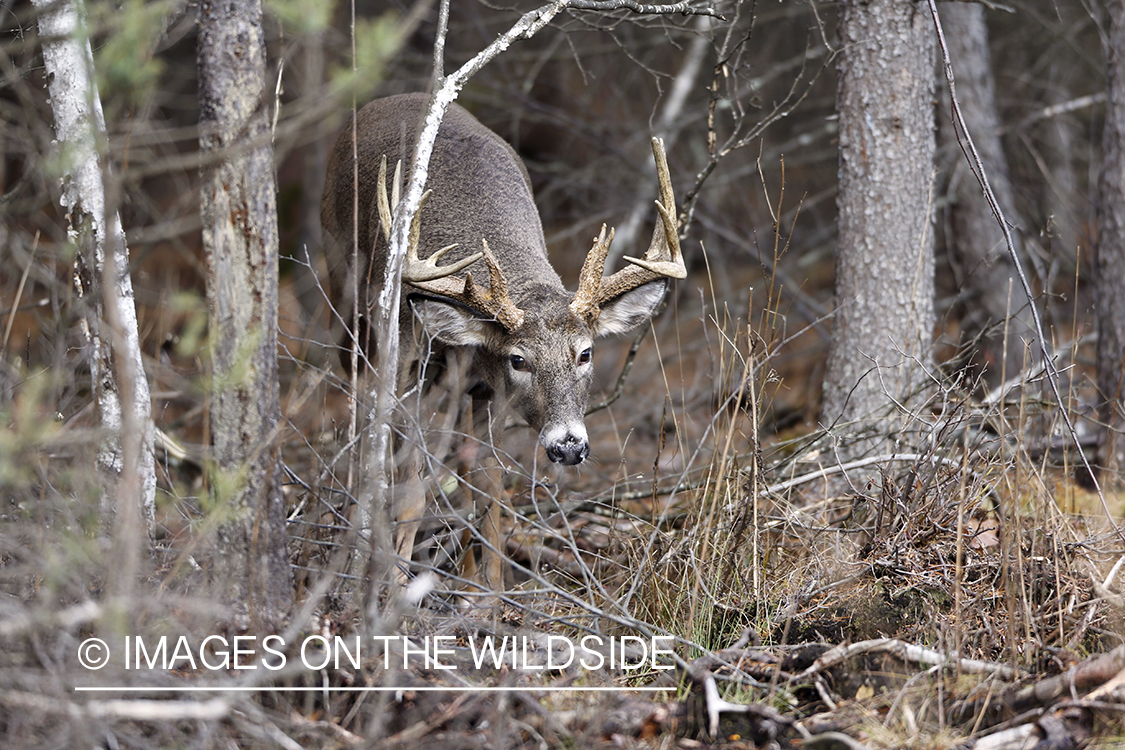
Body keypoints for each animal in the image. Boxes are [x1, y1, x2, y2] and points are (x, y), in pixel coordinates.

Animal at [317, 92, 684, 584]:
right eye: (518, 359)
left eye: (585, 353)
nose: (568, 445)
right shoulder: (409, 365)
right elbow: (410, 493)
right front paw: (394, 584)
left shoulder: (486, 391)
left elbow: (488, 489)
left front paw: (487, 590)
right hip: (349, 305)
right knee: (359, 415)